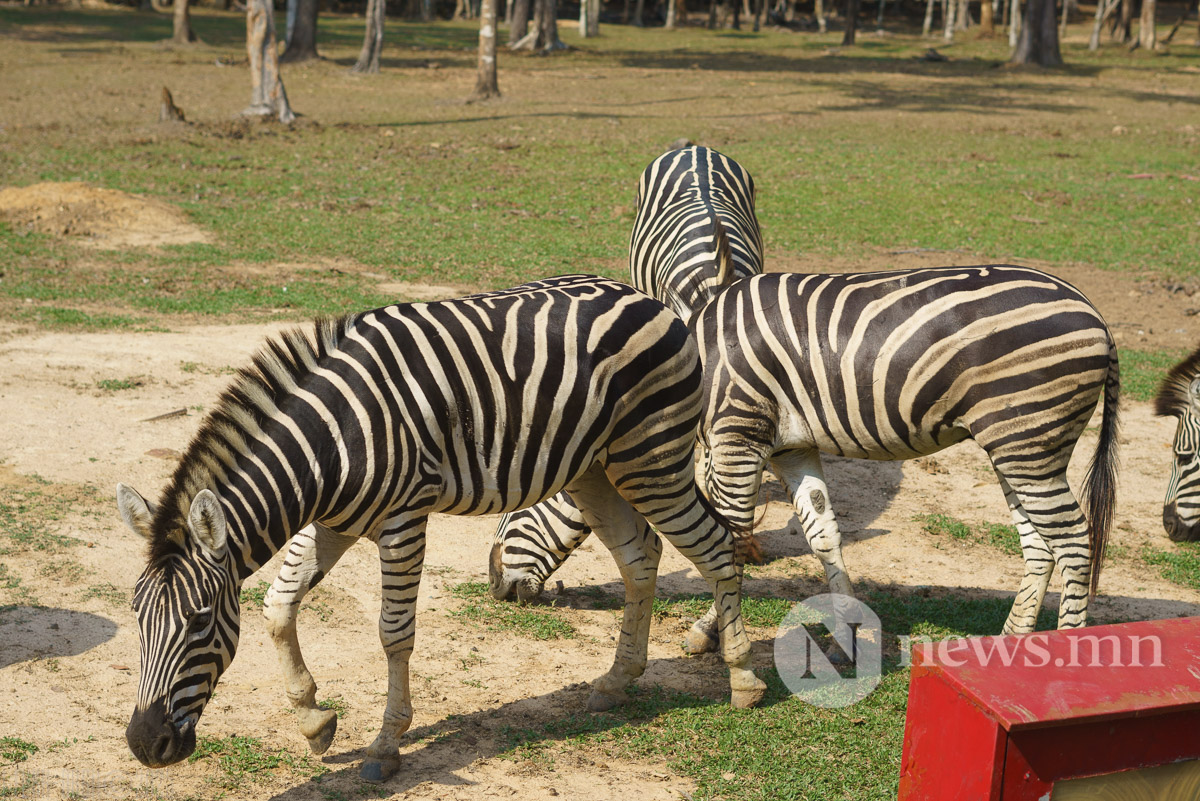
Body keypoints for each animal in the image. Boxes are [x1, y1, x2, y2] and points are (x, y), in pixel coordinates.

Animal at [117, 273, 763, 781]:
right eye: (136, 616)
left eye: (200, 621)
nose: (146, 745)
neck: (328, 449)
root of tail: (648, 300)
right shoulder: (334, 522)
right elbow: (278, 605)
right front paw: (314, 721)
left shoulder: (404, 518)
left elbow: (393, 632)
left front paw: (385, 746)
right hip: (595, 470)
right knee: (640, 556)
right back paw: (615, 681)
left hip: (650, 458)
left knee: (714, 546)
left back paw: (742, 679)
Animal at [484, 266, 1113, 642]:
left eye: (515, 510)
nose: (496, 588)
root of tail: (1094, 311)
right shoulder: (792, 446)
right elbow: (822, 532)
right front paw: (852, 621)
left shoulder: (737, 431)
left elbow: (730, 531)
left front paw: (710, 630)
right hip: (1019, 446)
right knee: (1041, 545)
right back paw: (1012, 644)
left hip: (1028, 437)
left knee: (1075, 542)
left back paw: (1067, 647)